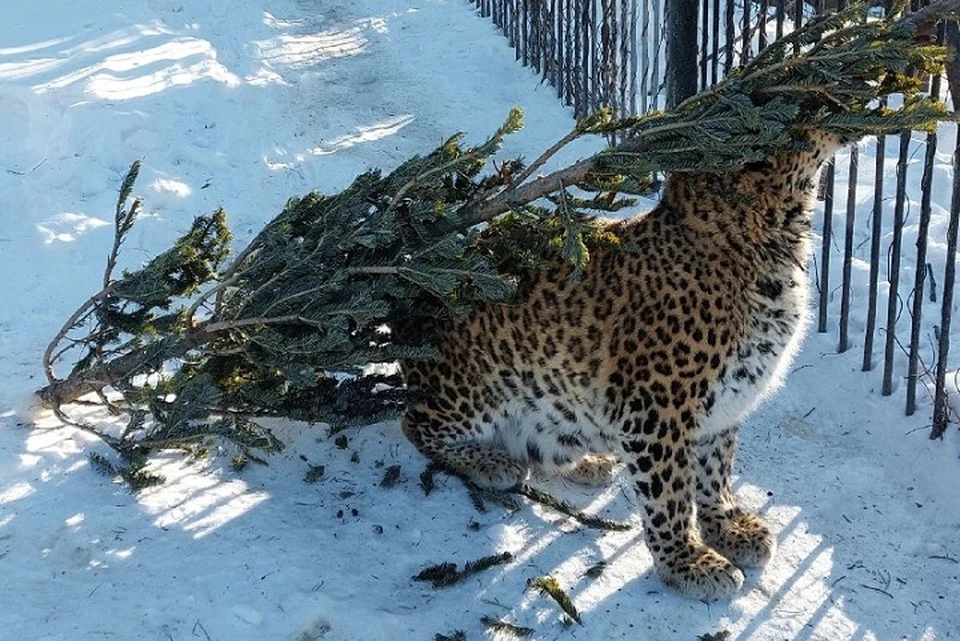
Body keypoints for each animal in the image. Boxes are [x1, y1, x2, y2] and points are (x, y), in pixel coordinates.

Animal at [398, 130, 840, 600]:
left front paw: (727, 525)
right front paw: (685, 560)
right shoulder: (657, 409)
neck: (776, 234)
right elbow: (670, 492)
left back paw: (585, 461)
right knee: (417, 425)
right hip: (474, 391)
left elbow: (715, 469)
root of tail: (409, 308)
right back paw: (489, 462)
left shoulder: (726, 402)